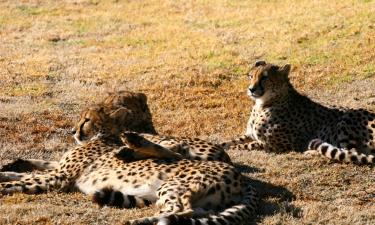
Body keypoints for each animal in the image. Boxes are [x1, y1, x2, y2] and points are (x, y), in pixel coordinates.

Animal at [0, 132, 258, 225]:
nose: (75, 132)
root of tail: (241, 177)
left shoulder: (60, 178)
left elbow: (24, 181)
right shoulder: (57, 171)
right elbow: (30, 171)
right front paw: (9, 167)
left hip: (172, 184)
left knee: (184, 209)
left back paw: (142, 221)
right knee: (197, 212)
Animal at [222, 60, 374, 164]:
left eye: (265, 77)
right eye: (250, 76)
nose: (251, 89)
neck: (263, 104)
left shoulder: (280, 144)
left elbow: (245, 145)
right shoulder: (251, 135)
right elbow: (230, 141)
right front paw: (220, 145)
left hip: (347, 117)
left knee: (350, 152)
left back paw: (311, 152)